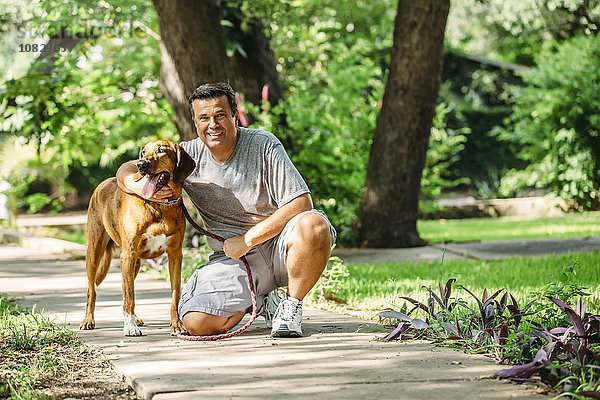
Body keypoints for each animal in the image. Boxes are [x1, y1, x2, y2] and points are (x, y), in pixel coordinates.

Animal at [81, 140, 195, 334]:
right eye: (143, 152)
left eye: (161, 150)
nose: (140, 164)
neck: (159, 206)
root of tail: (103, 182)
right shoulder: (128, 254)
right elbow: (129, 296)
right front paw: (130, 327)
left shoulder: (175, 255)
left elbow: (175, 294)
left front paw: (177, 324)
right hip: (95, 252)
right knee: (92, 290)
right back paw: (89, 320)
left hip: (135, 264)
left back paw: (136, 318)